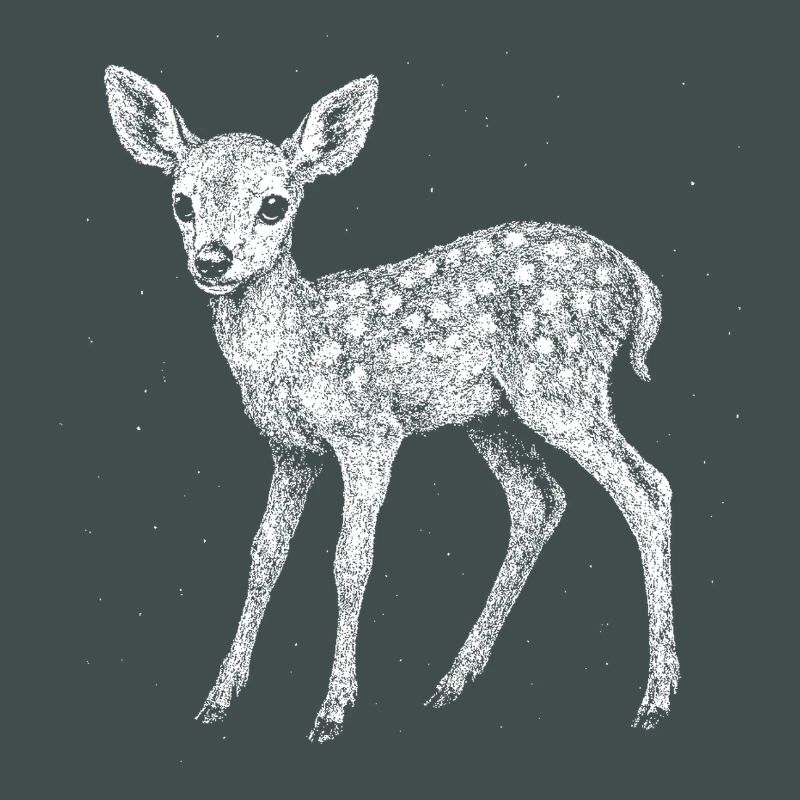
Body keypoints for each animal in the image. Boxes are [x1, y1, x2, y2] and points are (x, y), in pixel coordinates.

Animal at [104, 65, 680, 742]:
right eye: (181, 202)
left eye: (274, 204)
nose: (213, 260)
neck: (297, 344)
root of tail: (639, 284)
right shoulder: (291, 449)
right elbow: (264, 552)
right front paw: (219, 697)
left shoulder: (369, 434)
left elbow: (350, 560)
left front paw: (333, 708)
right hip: (493, 416)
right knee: (539, 500)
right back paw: (453, 681)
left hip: (561, 383)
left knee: (646, 487)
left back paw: (657, 698)